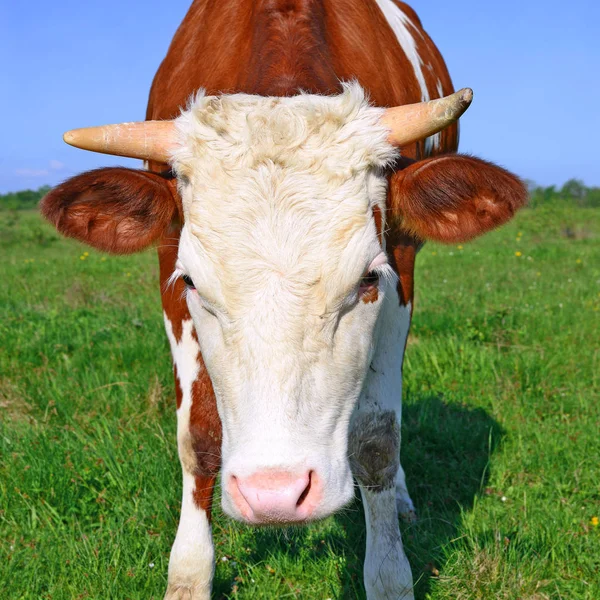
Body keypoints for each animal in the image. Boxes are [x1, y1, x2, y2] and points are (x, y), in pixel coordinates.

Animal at [39, 2, 524, 596]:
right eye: (193, 282)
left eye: (367, 279)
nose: (274, 495)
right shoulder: (166, 260)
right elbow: (198, 435)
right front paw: (189, 575)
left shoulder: (401, 264)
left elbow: (377, 442)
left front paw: (389, 575)